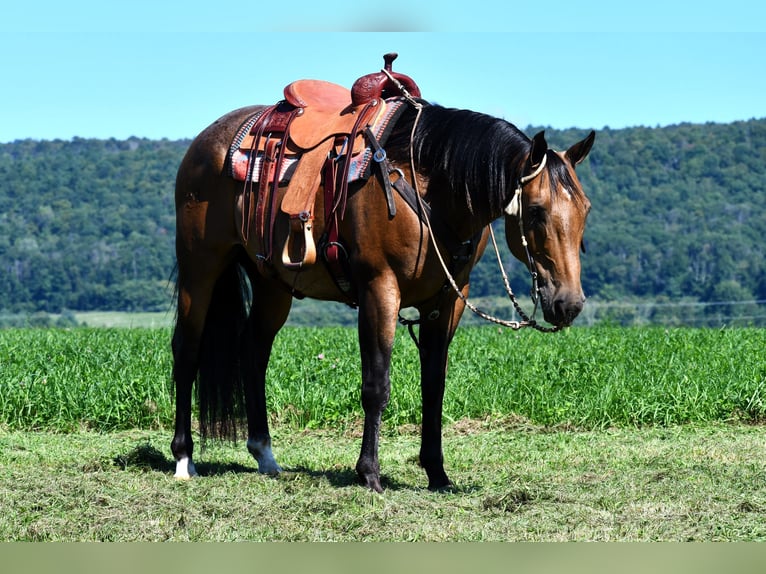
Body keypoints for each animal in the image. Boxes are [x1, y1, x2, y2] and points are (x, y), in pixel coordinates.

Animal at [171, 54, 596, 492]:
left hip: (272, 283)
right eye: (536, 211)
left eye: (585, 209)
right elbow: (376, 384)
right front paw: (370, 473)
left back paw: (265, 454)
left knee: (254, 351)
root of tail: (207, 141)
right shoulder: (379, 289)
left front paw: (437, 472)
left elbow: (434, 384)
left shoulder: (447, 300)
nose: (569, 303)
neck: (427, 187)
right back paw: (184, 458)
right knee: (186, 350)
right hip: (200, 266)